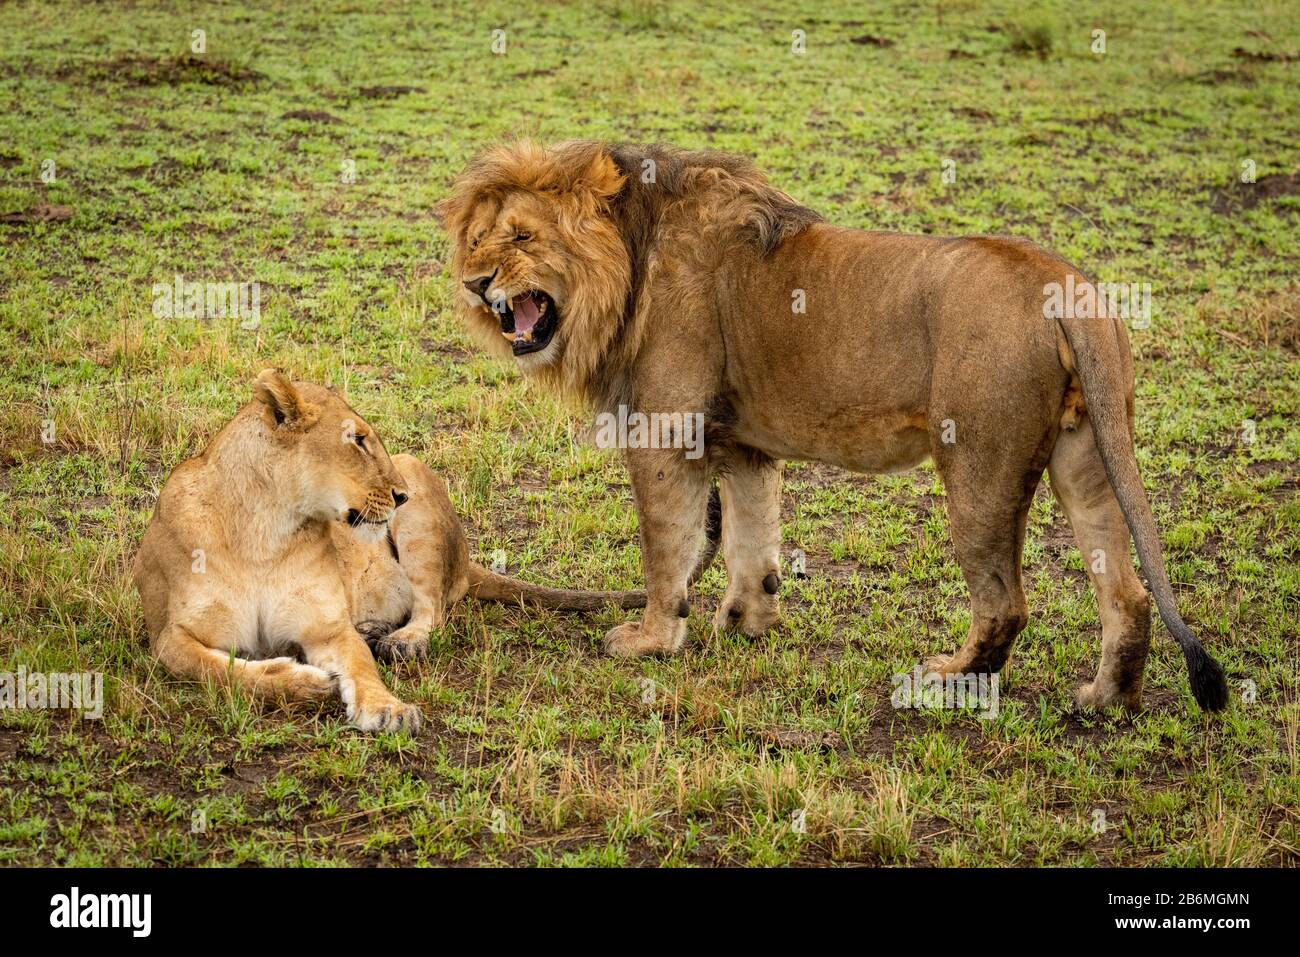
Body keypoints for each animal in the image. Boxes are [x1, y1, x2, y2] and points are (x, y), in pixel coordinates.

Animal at [134, 369, 682, 732]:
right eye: (357, 440)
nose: (398, 495)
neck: (267, 531)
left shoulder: (326, 627)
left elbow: (361, 667)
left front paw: (388, 709)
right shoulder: (169, 635)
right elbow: (216, 670)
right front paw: (303, 682)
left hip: (419, 489)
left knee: (431, 605)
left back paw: (402, 640)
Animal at [435, 140, 1230, 713]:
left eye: (521, 237)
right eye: (477, 241)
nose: (475, 284)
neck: (630, 257)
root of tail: (1068, 288)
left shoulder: (667, 431)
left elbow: (668, 549)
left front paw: (652, 639)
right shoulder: (743, 443)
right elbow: (751, 539)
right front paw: (746, 621)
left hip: (979, 464)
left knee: (1005, 602)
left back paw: (944, 680)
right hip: (1086, 455)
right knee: (1126, 593)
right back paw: (1105, 699)